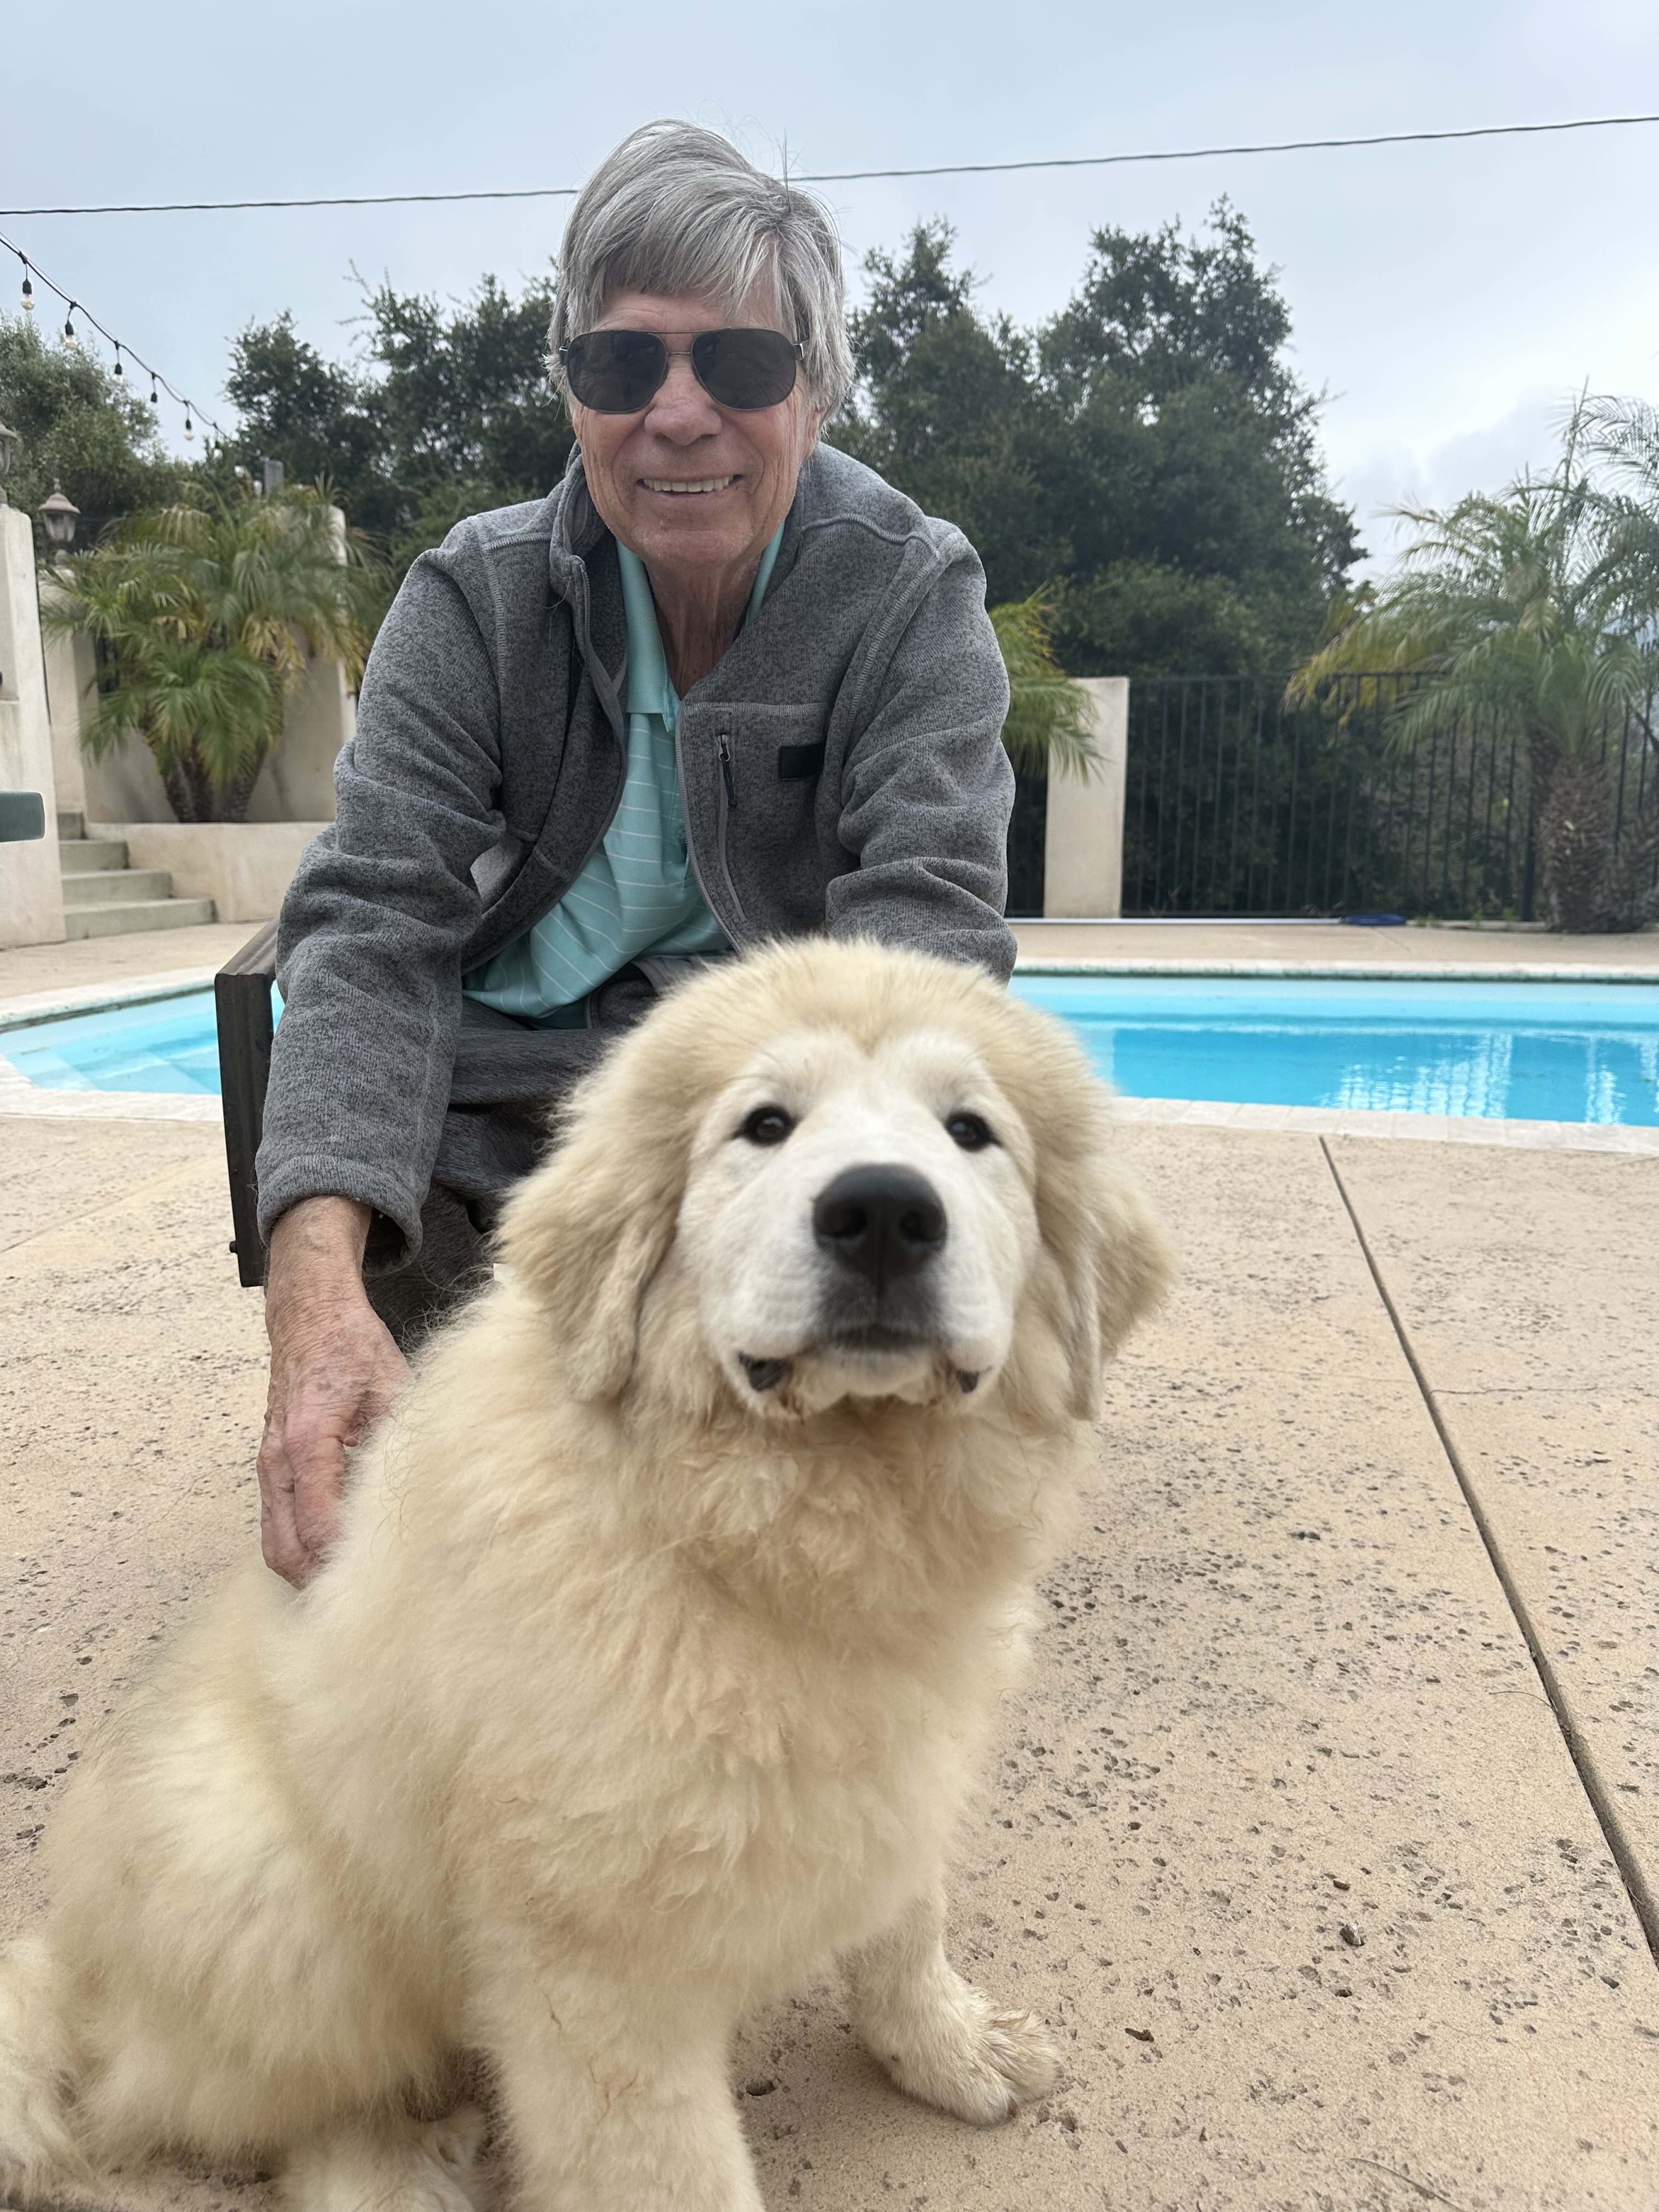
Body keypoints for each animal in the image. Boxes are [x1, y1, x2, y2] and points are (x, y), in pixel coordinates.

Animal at [3, 937, 1168, 2212]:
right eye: (764, 1125)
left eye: (970, 1132)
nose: (882, 1214)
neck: (770, 1525)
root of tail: (72, 1972)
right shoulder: (601, 1972)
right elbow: (672, 2170)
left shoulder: (894, 1765)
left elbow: (905, 1929)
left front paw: (951, 2048)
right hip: (273, 1890)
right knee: (299, 2119)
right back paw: (401, 2165)